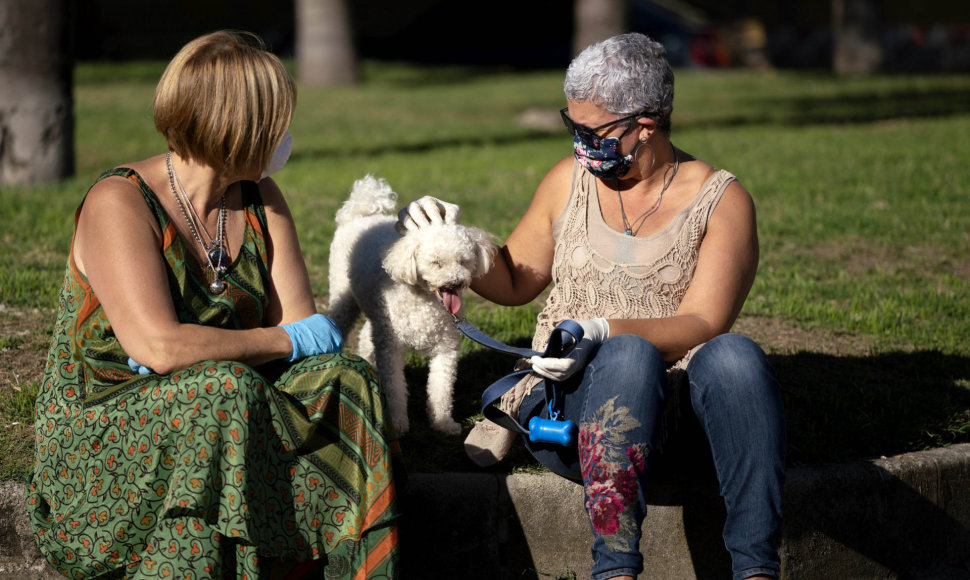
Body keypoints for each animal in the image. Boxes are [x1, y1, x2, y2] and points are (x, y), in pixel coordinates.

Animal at [328, 177, 496, 436]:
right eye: (436, 262)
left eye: (464, 261)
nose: (456, 282)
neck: (425, 302)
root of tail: (360, 214)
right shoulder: (392, 349)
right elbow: (395, 390)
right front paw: (397, 424)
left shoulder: (446, 348)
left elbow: (441, 389)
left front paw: (443, 423)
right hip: (344, 297)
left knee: (367, 334)